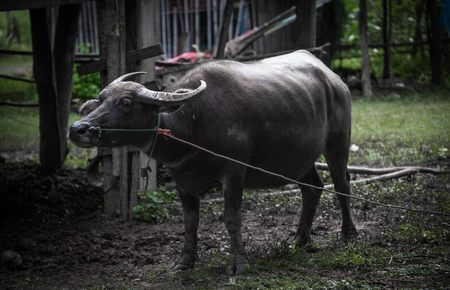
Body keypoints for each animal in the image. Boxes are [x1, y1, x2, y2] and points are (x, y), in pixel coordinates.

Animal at [69, 49, 358, 274]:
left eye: (126, 102)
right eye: (101, 99)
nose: (77, 129)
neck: (193, 124)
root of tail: (334, 78)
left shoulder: (234, 172)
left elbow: (231, 217)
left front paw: (239, 264)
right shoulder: (182, 181)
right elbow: (190, 222)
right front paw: (184, 262)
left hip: (338, 141)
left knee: (342, 184)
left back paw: (348, 234)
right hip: (298, 158)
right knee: (312, 188)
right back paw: (299, 239)